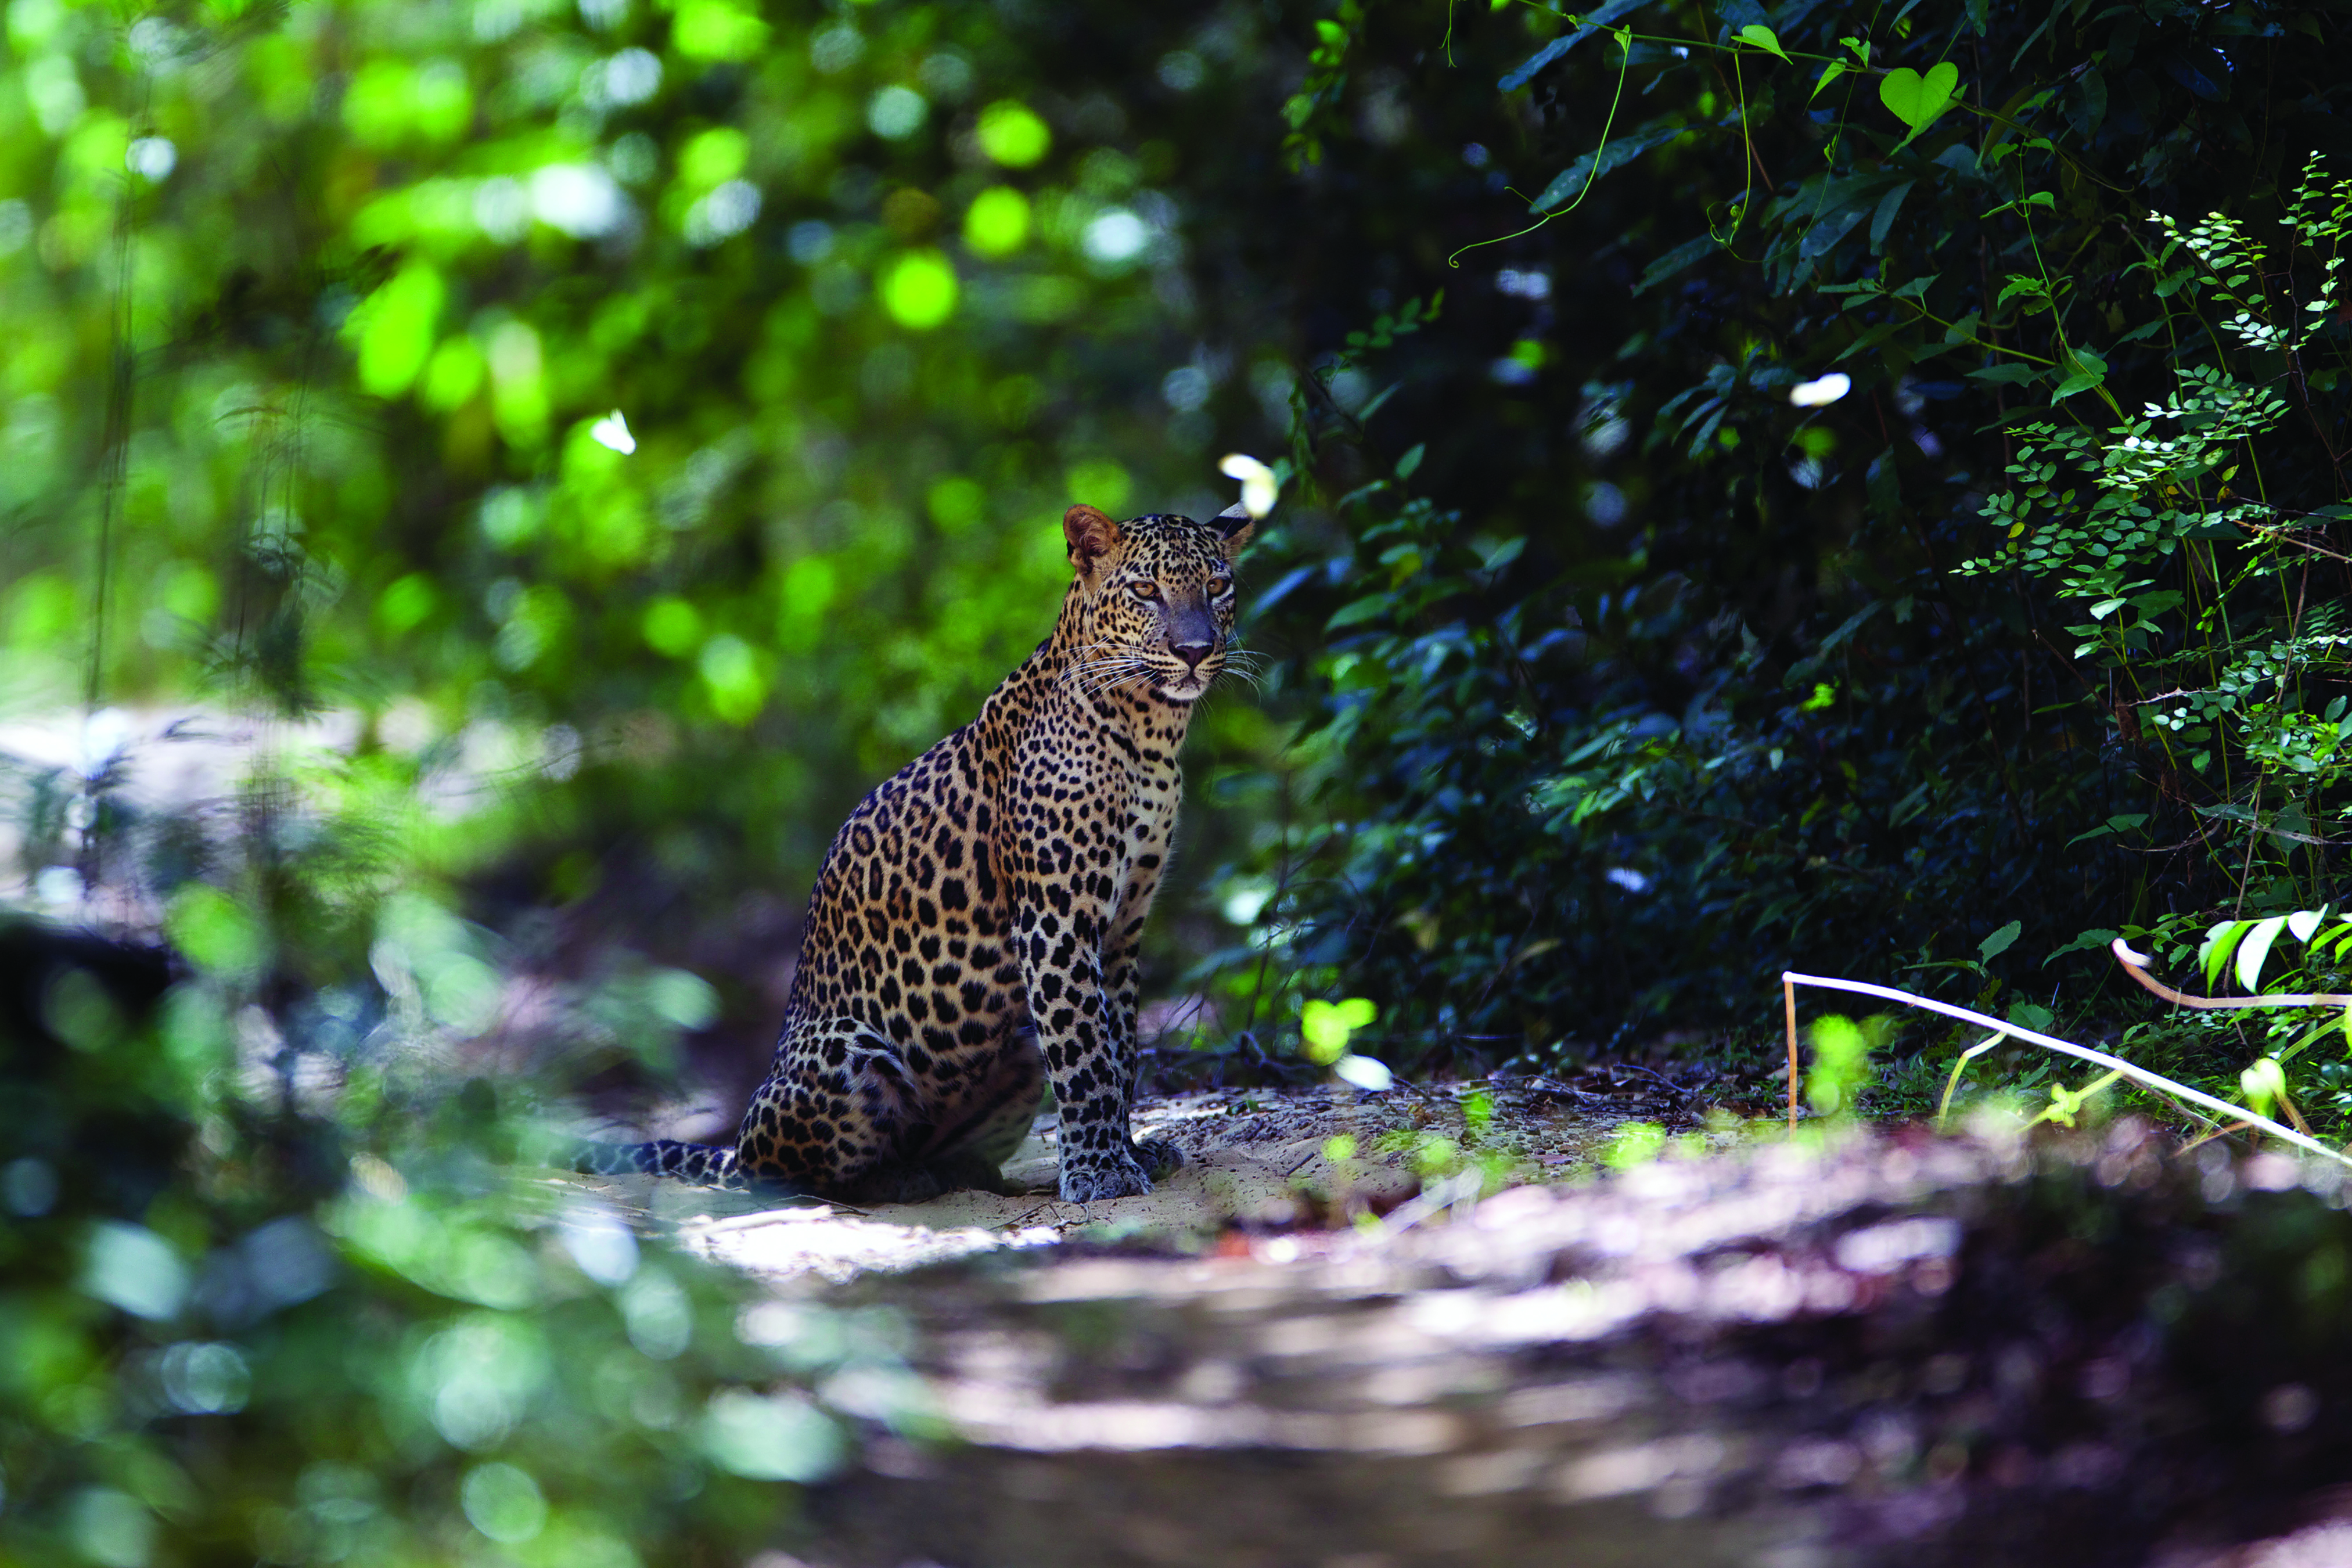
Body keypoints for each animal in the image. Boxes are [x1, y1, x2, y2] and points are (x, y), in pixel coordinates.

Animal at [577, 500, 1256, 1204]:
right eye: (1145, 591)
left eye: (1217, 586)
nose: (1194, 652)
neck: (1151, 734)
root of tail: (735, 1146)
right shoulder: (1056, 923)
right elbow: (1084, 1053)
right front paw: (1100, 1169)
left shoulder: (1121, 930)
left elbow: (1119, 1052)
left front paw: (1130, 1152)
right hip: (845, 1049)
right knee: (790, 1177)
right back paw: (897, 1180)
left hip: (1010, 1044)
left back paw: (955, 1171)